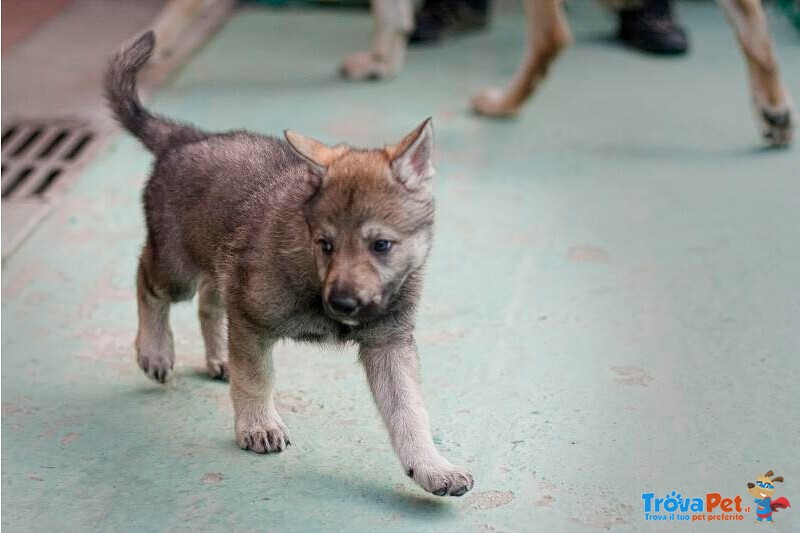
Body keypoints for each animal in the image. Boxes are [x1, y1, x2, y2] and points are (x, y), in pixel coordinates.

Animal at [103, 32, 472, 494]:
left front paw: (431, 466)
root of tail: (187, 139)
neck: (313, 274)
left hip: (219, 268)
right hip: (177, 268)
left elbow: (410, 412)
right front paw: (258, 425)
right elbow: (257, 378)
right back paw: (155, 350)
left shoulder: (388, 344)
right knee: (146, 279)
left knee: (209, 301)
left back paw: (218, 357)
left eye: (382, 245)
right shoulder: (252, 321)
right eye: (325, 244)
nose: (343, 305)